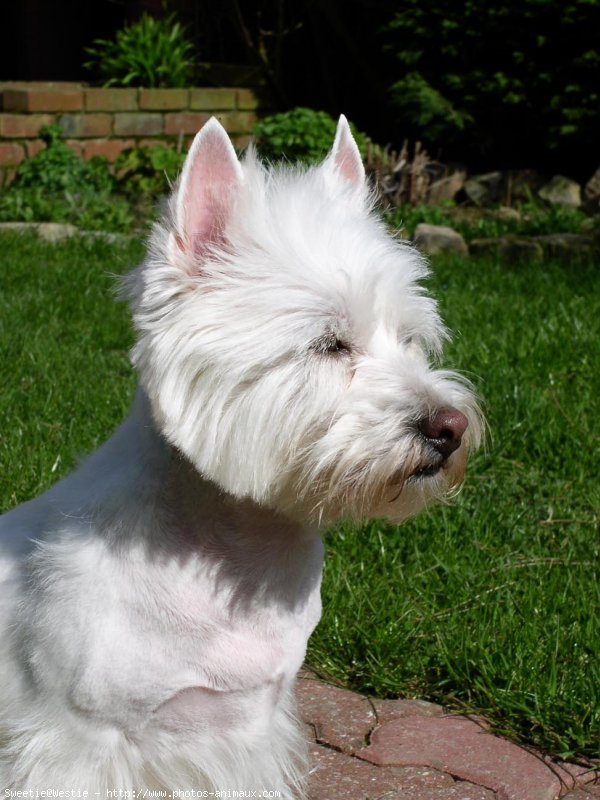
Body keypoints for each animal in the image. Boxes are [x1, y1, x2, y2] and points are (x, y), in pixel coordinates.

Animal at [0, 115, 482, 796]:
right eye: (328, 344)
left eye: (411, 339)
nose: (450, 428)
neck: (237, 555)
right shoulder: (76, 740)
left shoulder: (249, 725)